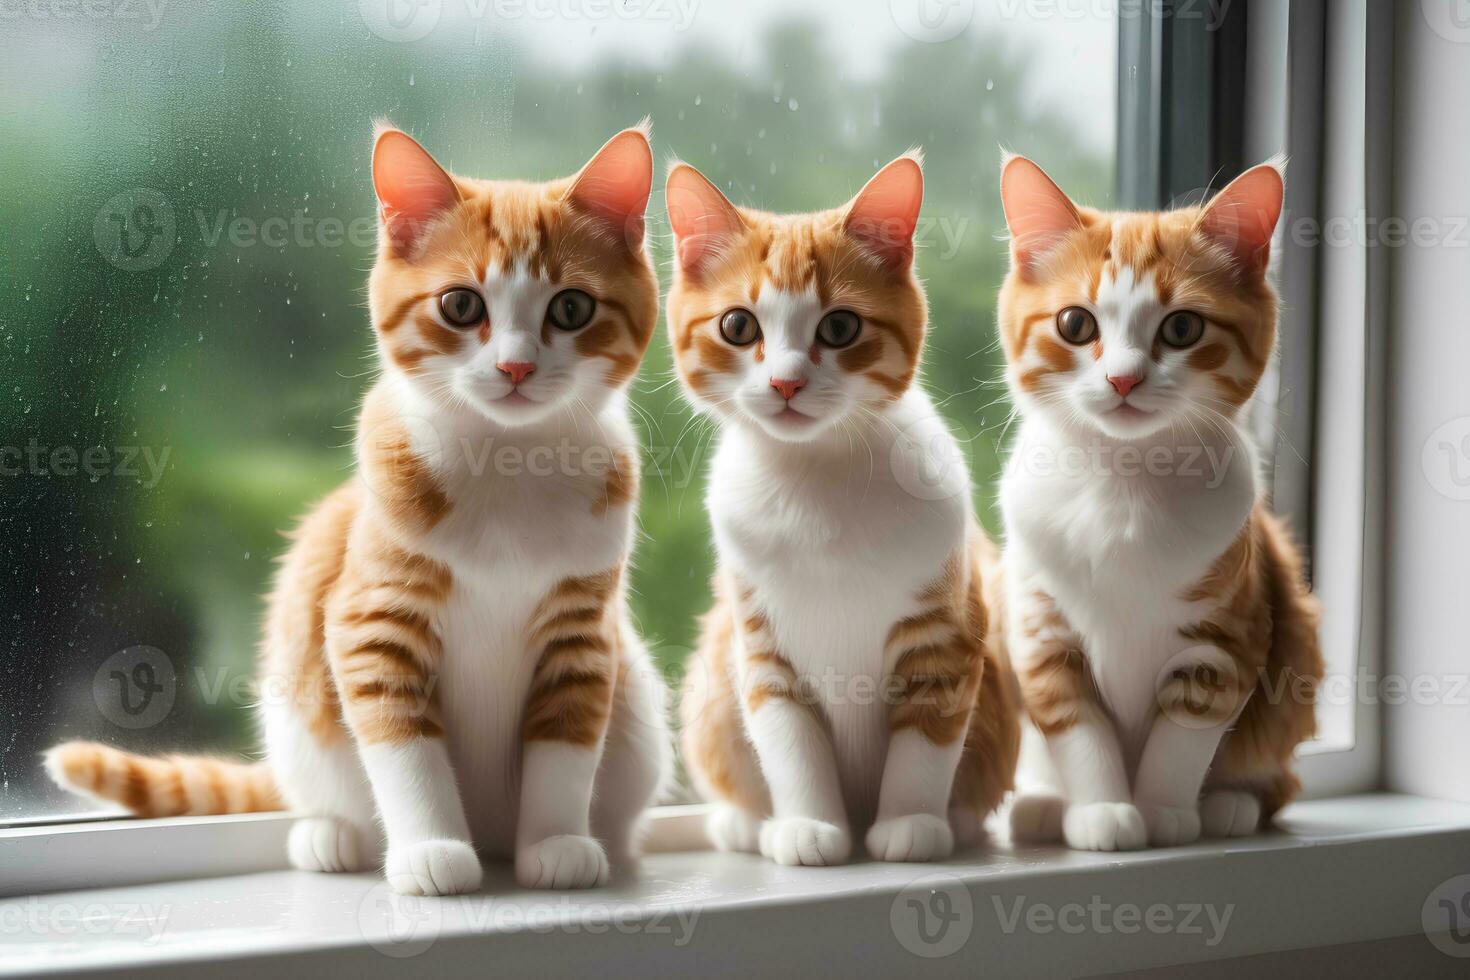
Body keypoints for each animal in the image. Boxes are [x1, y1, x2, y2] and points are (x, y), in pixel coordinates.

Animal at [44, 122, 667, 899]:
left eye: (572, 309)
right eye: (461, 305)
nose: (516, 367)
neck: (507, 464)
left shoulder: (582, 634)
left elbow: (566, 744)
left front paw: (555, 842)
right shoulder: (373, 618)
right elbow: (404, 748)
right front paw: (431, 848)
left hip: (638, 705)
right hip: (295, 705)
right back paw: (332, 835)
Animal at [670, 153, 1023, 863]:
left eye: (839, 327)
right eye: (737, 325)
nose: (786, 382)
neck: (816, 482)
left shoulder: (946, 631)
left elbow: (926, 742)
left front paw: (910, 824)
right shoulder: (761, 644)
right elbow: (789, 742)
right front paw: (809, 826)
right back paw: (745, 823)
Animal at [999, 155, 1323, 852]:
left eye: (1182, 327)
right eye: (1076, 324)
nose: (1123, 378)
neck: (1122, 487)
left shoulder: (1226, 638)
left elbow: (1186, 732)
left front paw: (1163, 812)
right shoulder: (1042, 631)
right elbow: (1076, 725)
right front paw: (1103, 809)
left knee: (1280, 777)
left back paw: (1231, 803)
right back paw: (1041, 804)